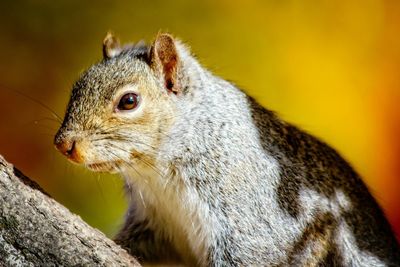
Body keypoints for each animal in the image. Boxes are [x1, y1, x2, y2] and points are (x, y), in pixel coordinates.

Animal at [54, 32, 400, 266]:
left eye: (129, 101)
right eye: (76, 86)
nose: (64, 144)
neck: (158, 174)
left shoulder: (252, 221)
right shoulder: (154, 222)